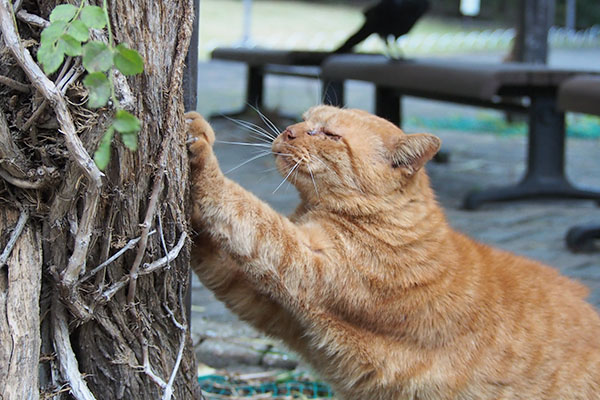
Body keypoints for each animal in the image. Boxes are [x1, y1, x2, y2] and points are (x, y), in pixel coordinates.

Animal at [188, 106, 600, 400]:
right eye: (304, 121)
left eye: (330, 134)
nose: (287, 131)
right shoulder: (272, 306)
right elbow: (219, 258)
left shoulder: (304, 264)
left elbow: (245, 211)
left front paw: (202, 152)